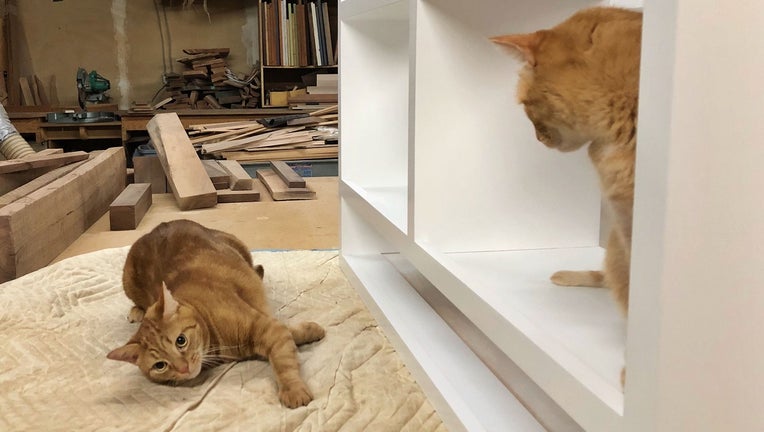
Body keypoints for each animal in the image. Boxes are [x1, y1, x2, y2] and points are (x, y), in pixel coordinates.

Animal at [106, 221, 324, 406]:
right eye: (160, 365)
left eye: (181, 341)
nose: (183, 368)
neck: (218, 344)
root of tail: (156, 228)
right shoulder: (268, 327)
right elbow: (287, 337)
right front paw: (311, 330)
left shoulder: (265, 327)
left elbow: (283, 362)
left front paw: (294, 390)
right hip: (128, 281)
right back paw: (136, 311)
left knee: (256, 267)